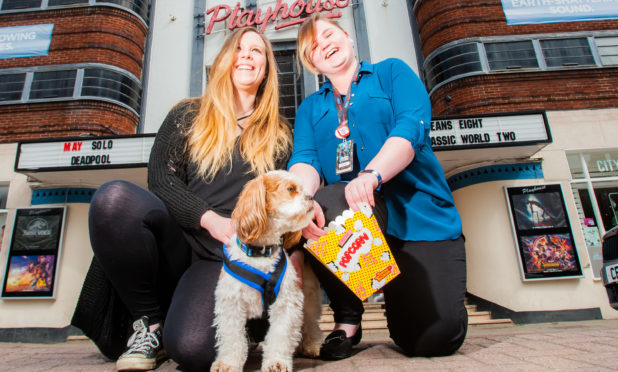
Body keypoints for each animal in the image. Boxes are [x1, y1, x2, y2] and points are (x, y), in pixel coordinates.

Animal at [211, 171, 322, 372]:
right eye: (291, 189)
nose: (311, 197)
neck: (261, 253)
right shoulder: (232, 303)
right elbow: (232, 338)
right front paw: (228, 363)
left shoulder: (286, 303)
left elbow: (280, 335)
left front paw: (277, 362)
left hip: (308, 296)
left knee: (310, 322)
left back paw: (312, 345)